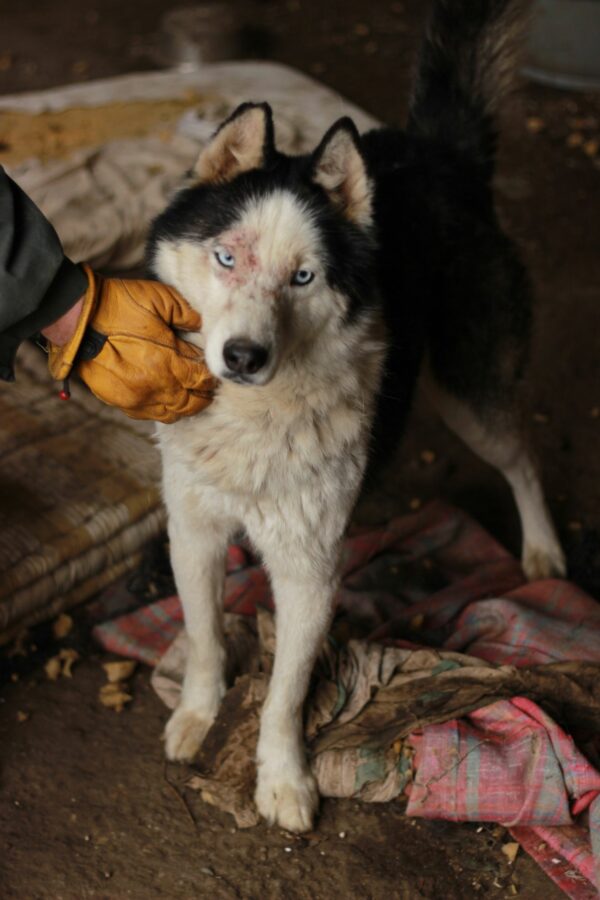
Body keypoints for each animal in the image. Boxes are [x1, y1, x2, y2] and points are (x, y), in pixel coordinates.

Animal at [148, 0, 564, 828]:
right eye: (227, 257)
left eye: (304, 277)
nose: (243, 355)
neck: (251, 417)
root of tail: (437, 150)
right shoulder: (196, 528)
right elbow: (206, 637)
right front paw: (198, 715)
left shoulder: (310, 569)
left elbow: (285, 694)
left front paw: (282, 781)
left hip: (467, 395)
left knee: (523, 458)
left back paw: (543, 552)